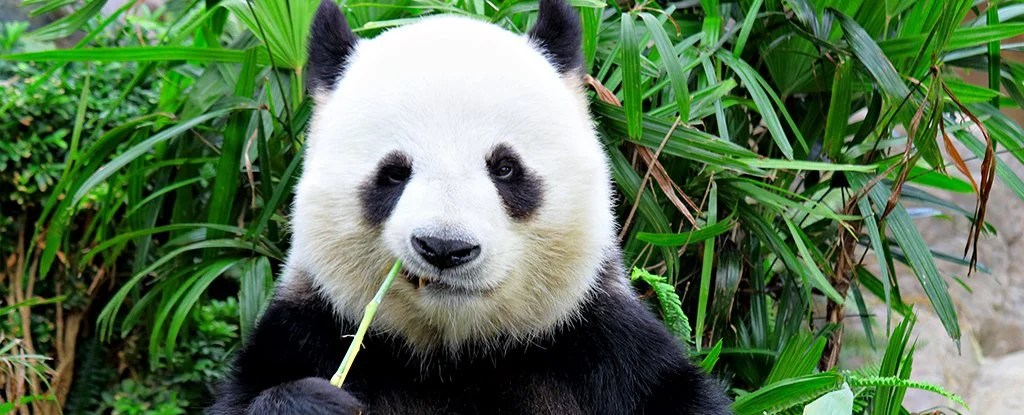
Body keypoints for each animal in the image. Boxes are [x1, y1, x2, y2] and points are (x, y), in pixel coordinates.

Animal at [209, 0, 730, 413]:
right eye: (393, 173)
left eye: (505, 168)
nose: (444, 248)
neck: (458, 356)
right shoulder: (305, 333)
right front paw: (315, 402)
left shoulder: (603, 350)